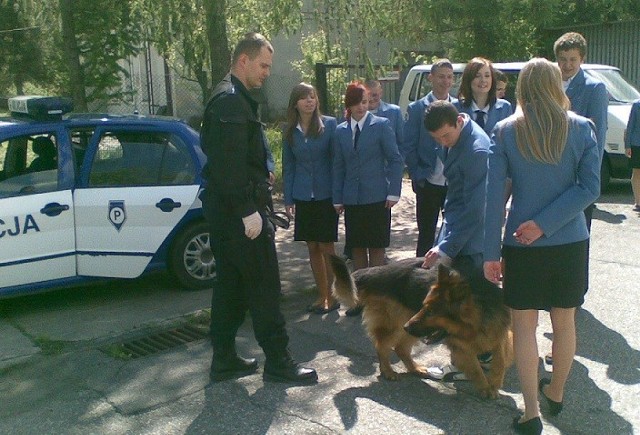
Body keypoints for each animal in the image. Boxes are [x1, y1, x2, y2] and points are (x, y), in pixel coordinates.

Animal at [404, 264, 516, 400]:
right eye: (423, 306)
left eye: (430, 312)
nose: (405, 327)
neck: (477, 325)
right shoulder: (462, 347)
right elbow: (475, 369)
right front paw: (485, 387)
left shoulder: (500, 333)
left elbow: (500, 361)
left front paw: (494, 383)